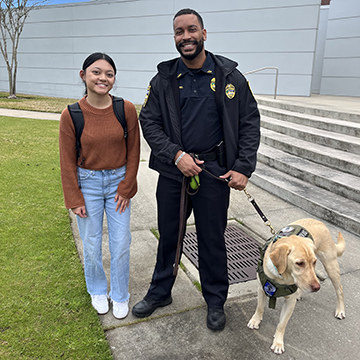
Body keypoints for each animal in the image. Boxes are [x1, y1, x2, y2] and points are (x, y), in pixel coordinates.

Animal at [248, 217, 346, 354]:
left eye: (314, 262)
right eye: (299, 263)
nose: (317, 287)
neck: (281, 276)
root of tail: (318, 221)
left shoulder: (289, 303)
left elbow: (282, 324)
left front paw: (278, 342)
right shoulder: (262, 289)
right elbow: (260, 308)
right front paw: (255, 320)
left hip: (330, 266)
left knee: (339, 289)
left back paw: (340, 310)